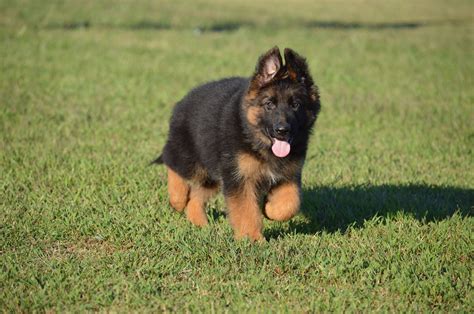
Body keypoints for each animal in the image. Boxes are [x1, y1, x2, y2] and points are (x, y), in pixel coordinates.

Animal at [154, 46, 320, 240]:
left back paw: (200, 224)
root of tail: (182, 102)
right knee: (173, 164)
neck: (256, 140)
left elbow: (291, 203)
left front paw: (269, 209)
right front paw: (252, 239)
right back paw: (177, 199)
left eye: (296, 105)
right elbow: (246, 210)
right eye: (269, 104)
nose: (282, 130)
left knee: (196, 196)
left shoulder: (289, 174)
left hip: (213, 174)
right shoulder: (239, 178)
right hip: (191, 156)